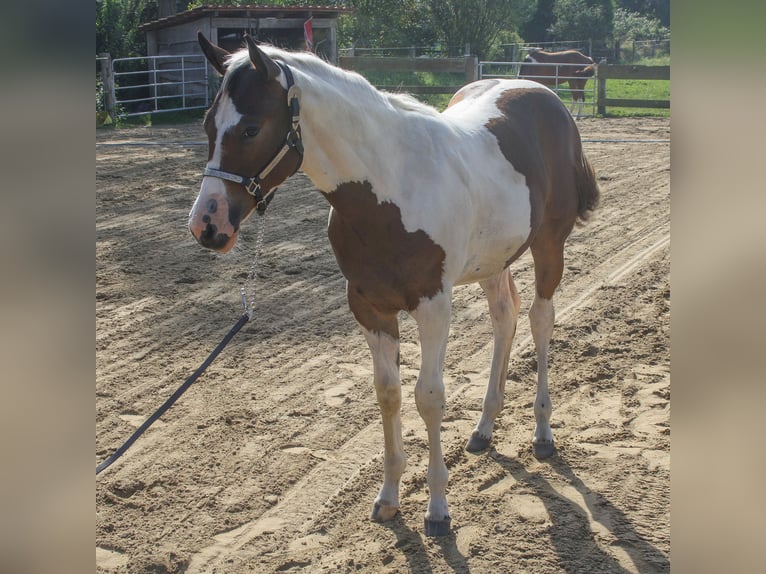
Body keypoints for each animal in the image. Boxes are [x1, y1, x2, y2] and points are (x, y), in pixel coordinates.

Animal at [188, 33, 600, 540]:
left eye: (250, 129)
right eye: (208, 125)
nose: (207, 225)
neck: (390, 190)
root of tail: (545, 95)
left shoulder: (433, 306)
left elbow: (430, 397)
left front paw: (438, 509)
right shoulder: (370, 308)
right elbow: (389, 394)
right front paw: (388, 499)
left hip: (548, 246)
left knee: (541, 319)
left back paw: (543, 433)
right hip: (493, 260)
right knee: (505, 319)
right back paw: (484, 428)